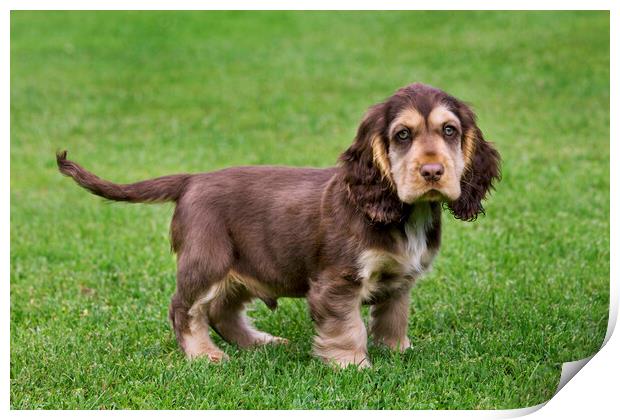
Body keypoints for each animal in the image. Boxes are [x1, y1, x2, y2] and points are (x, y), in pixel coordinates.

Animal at [54, 83, 498, 368]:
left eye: (450, 130)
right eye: (402, 135)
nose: (432, 172)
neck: (404, 213)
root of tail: (192, 179)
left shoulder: (400, 279)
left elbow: (393, 316)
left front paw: (397, 351)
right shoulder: (337, 282)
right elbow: (347, 327)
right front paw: (352, 365)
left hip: (246, 265)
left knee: (222, 311)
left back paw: (259, 343)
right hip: (208, 259)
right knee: (184, 308)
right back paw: (204, 355)